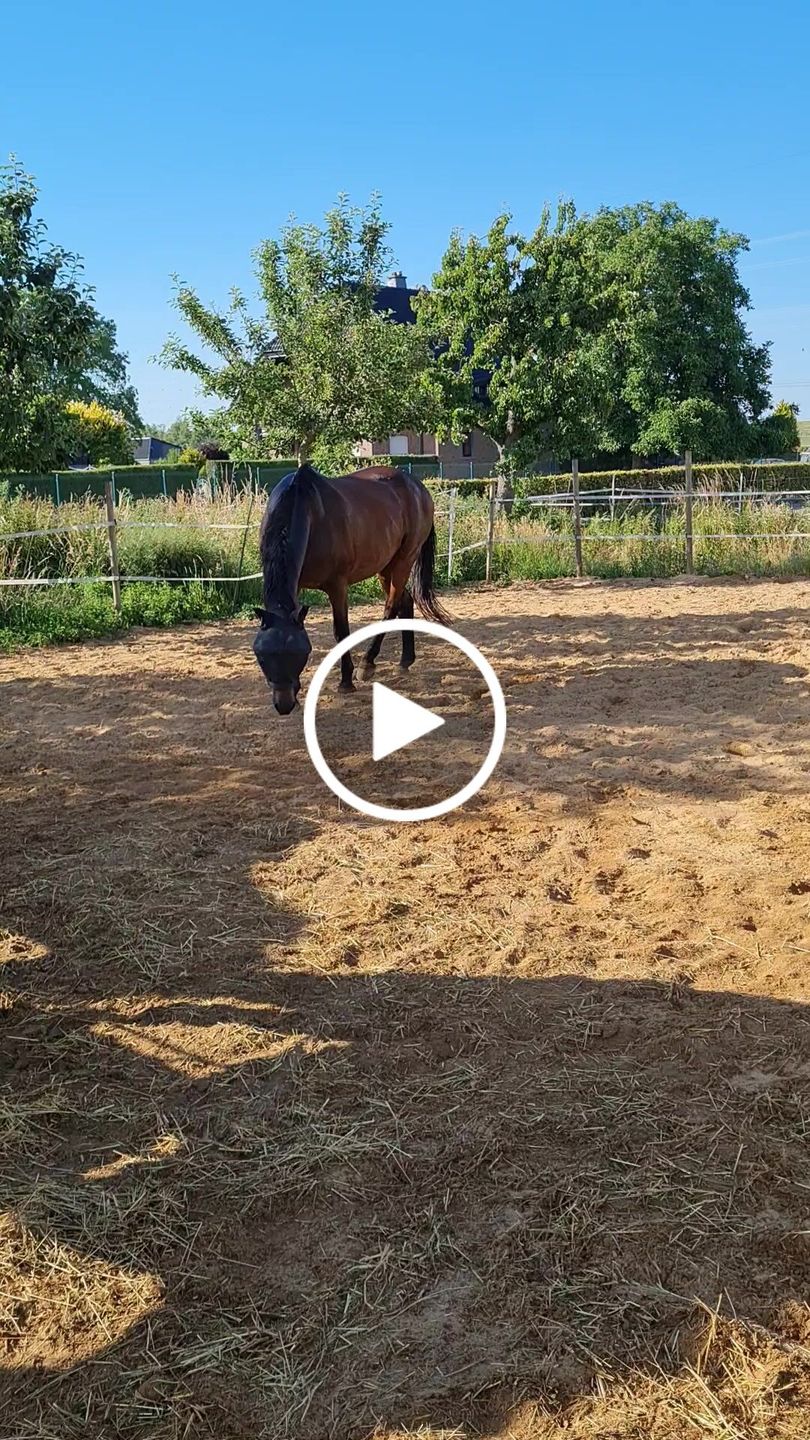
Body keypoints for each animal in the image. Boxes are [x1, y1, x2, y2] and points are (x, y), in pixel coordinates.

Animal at [252, 463, 451, 714]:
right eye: (262, 656)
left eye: (300, 653)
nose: (284, 704)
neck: (306, 508)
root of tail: (418, 487)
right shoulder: (294, 588)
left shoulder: (337, 586)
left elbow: (341, 632)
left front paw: (346, 682)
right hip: (385, 565)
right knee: (404, 601)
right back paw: (405, 661)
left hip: (405, 560)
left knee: (391, 607)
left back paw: (367, 663)